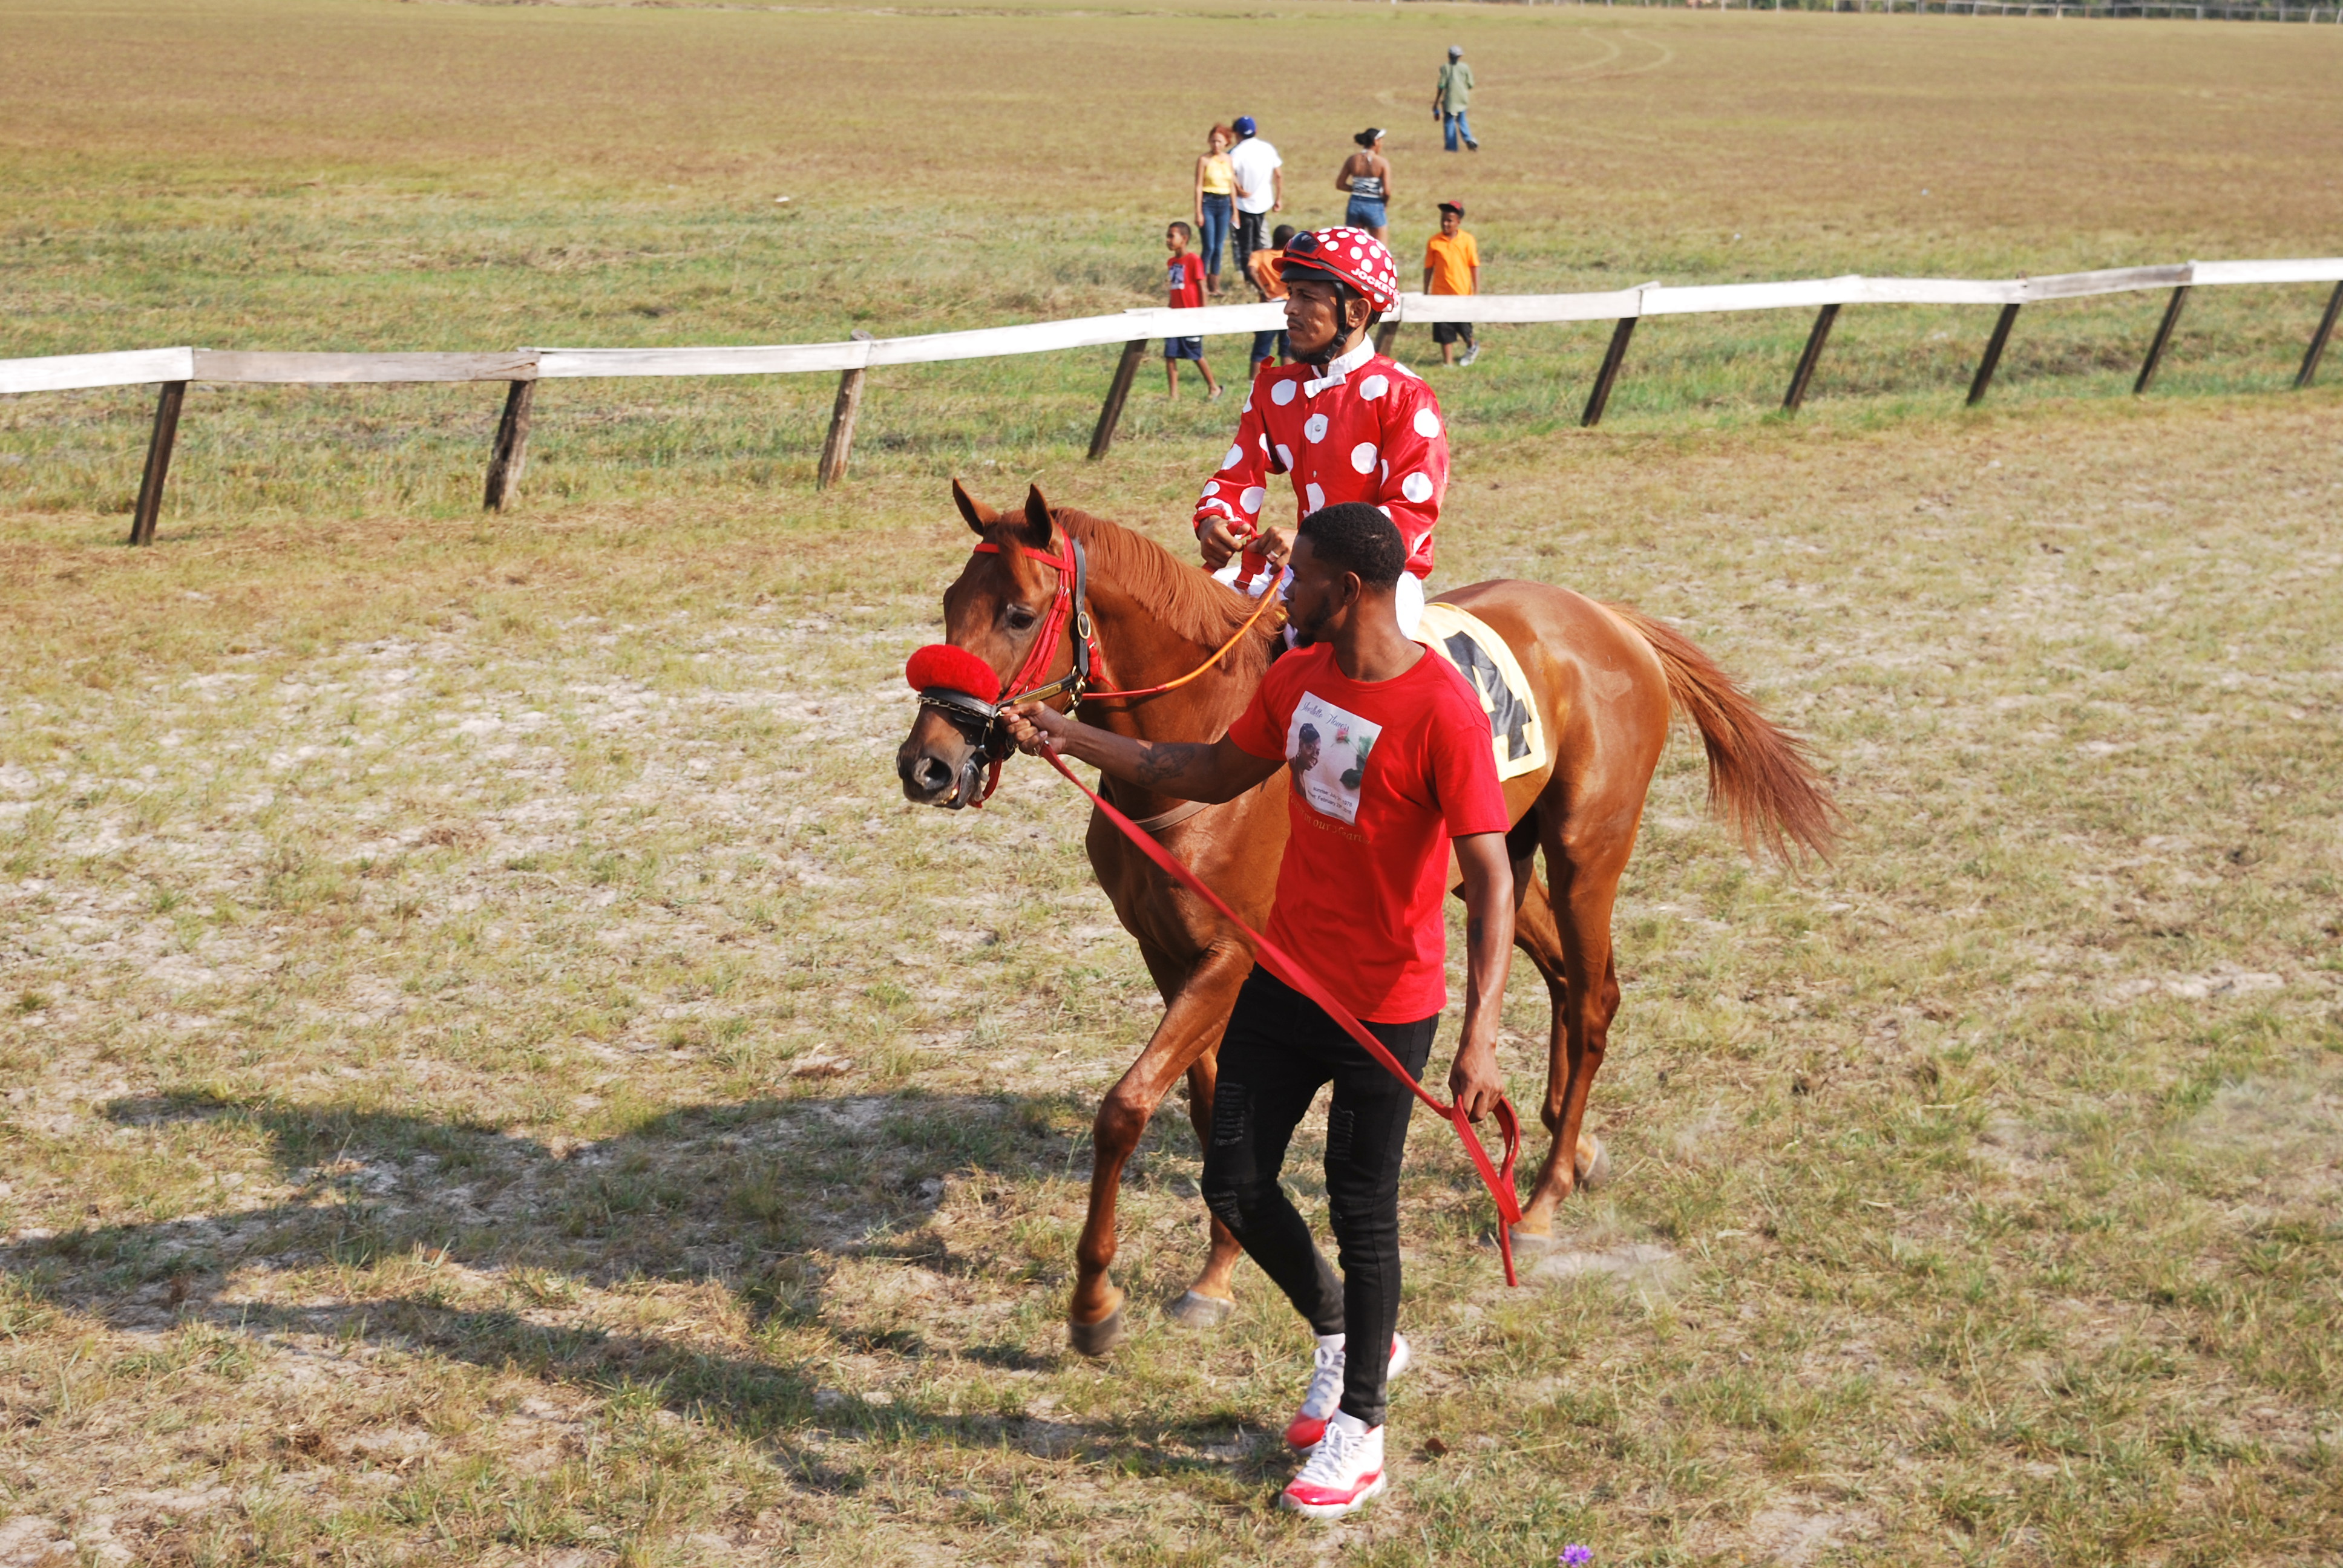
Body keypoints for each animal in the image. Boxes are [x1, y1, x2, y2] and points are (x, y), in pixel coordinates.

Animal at [895, 483, 1827, 1350]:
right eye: (947, 601)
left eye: (1018, 614)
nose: (926, 765)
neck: (1202, 750)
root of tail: (1607, 619)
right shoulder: (1167, 953)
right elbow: (1207, 1113)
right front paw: (1219, 1270)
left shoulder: (1233, 957)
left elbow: (1126, 1108)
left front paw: (1095, 1302)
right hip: (1494, 867)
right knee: (1565, 981)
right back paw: (1569, 1144)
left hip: (1585, 853)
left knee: (1595, 998)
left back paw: (1543, 1197)